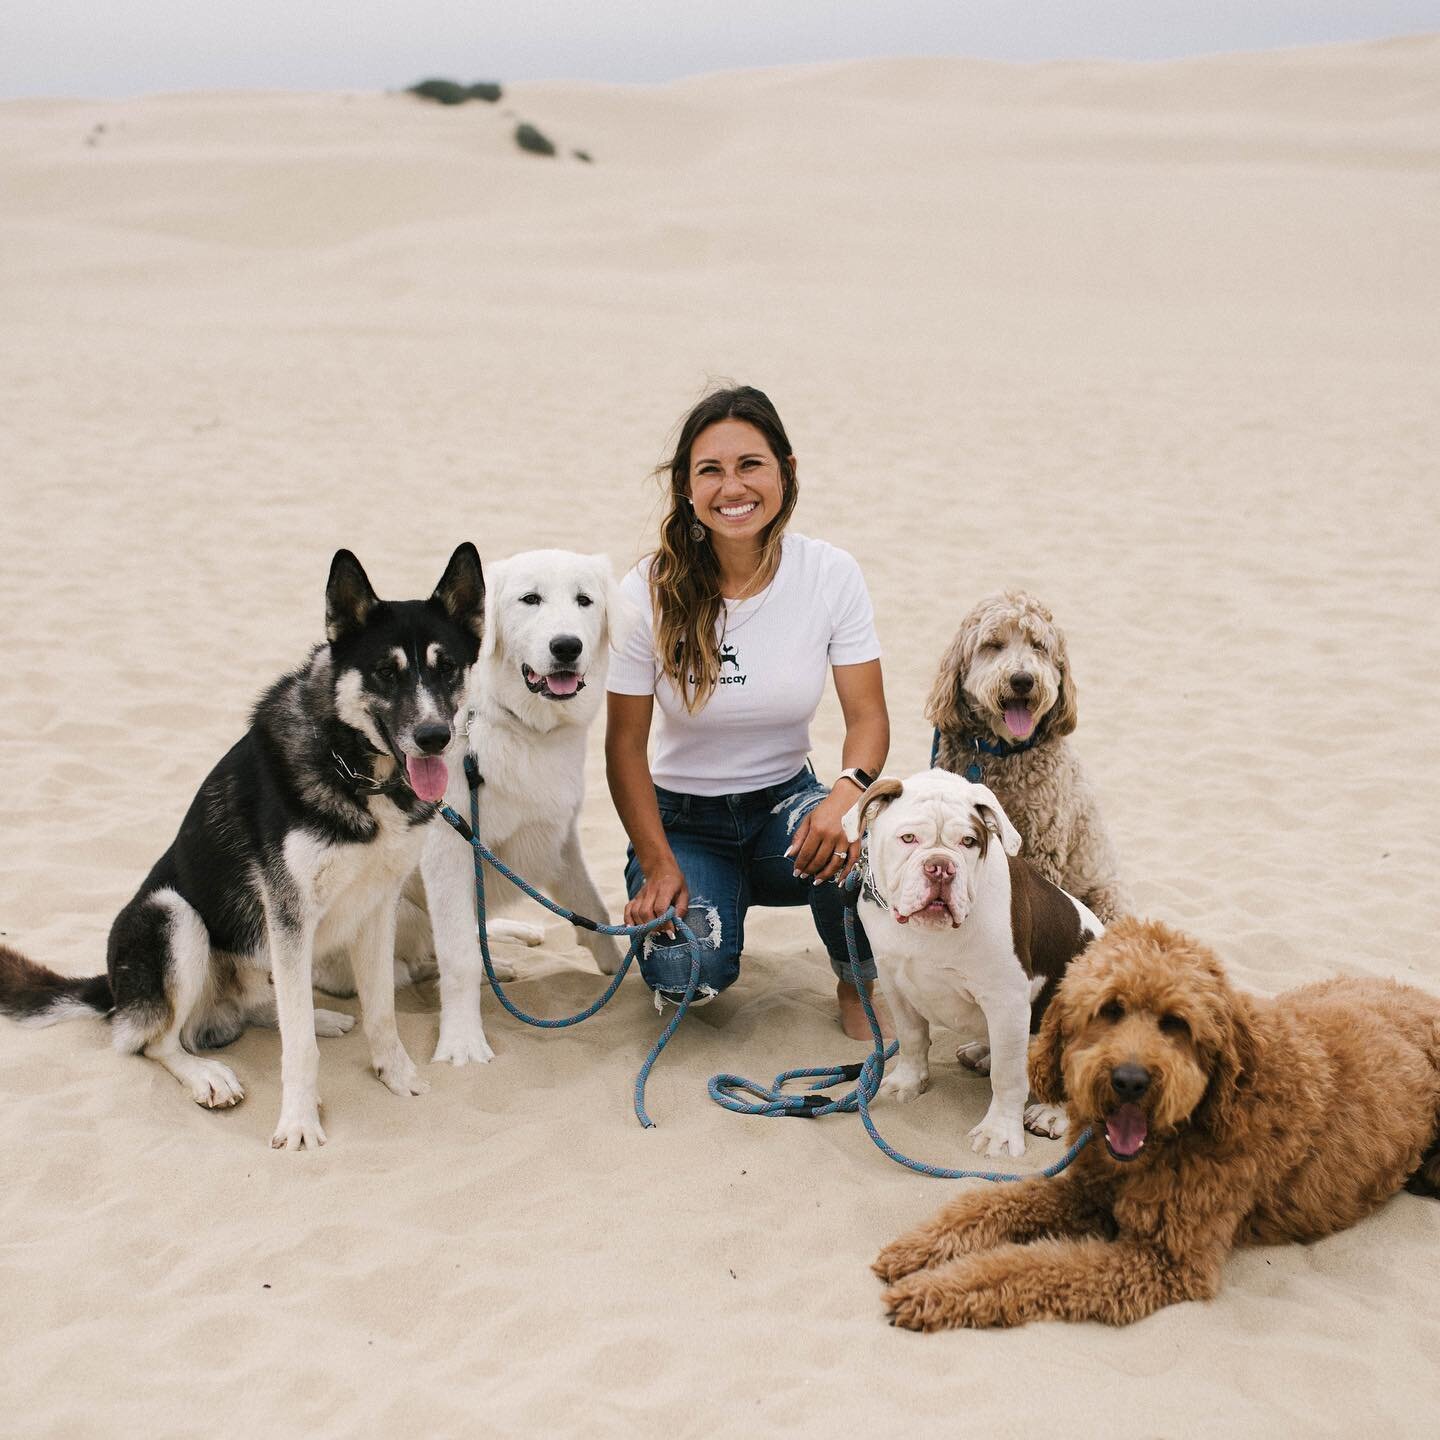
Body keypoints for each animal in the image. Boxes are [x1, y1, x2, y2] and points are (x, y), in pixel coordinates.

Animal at [400, 550, 636, 1071]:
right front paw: (462, 1041)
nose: (566, 646)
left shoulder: (559, 833)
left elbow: (591, 905)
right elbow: (459, 957)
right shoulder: (448, 852)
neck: (523, 727)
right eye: (530, 599)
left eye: (584, 600)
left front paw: (616, 967)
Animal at [869, 921, 1440, 1324]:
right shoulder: (1087, 1188)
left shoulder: (1165, 1259)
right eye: (1109, 1010)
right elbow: (992, 1202)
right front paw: (919, 1247)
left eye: (1176, 1024)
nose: (1129, 1081)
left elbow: (1031, 1266)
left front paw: (935, 1290)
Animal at [927, 593, 1128, 921]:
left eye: (1038, 646)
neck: (1002, 751)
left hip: (1108, 897)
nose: (1022, 679)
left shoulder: (1043, 842)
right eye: (994, 644)